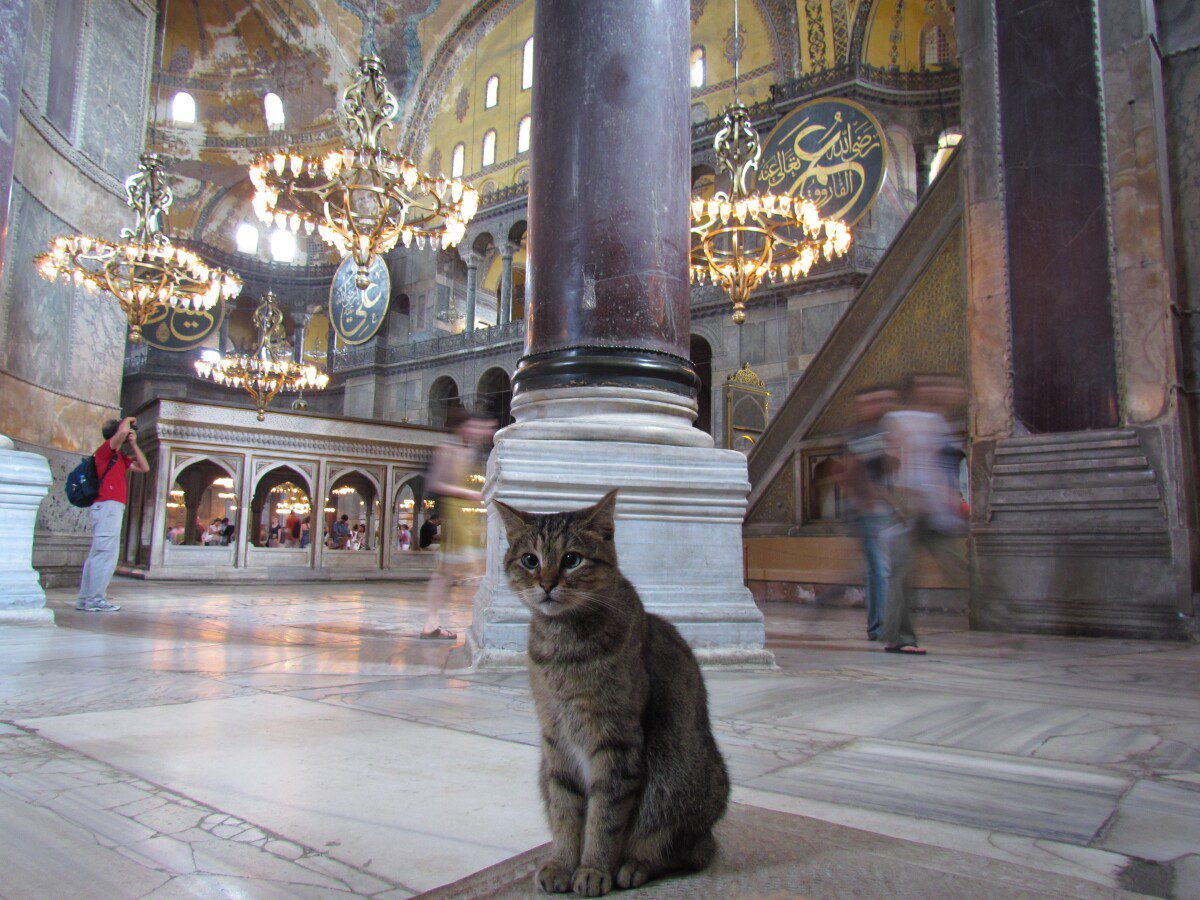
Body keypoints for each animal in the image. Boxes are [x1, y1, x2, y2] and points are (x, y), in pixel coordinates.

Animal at [492, 489, 724, 897]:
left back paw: (634, 866)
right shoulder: (556, 742)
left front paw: (592, 870)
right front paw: (562, 863)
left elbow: (605, 816)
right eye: (530, 560)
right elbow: (565, 812)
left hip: (673, 778)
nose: (547, 583)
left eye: (571, 559)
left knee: (685, 850)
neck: (562, 647)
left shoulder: (615, 740)